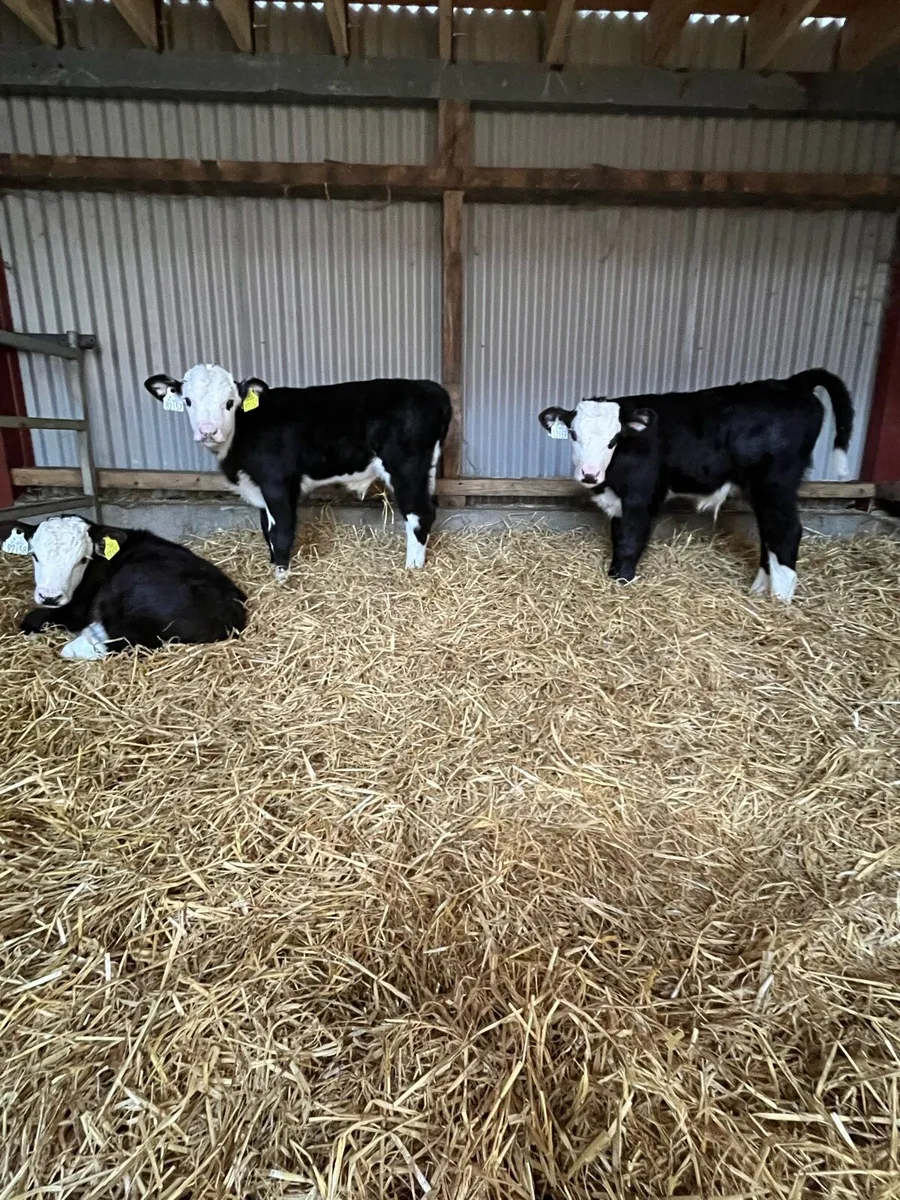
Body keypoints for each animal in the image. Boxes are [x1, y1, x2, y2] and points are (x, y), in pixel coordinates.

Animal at [143, 366, 452, 581]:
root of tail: (429, 387)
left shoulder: (277, 483)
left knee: (419, 514)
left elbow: (281, 531)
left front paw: (282, 577)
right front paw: (273, 565)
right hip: (424, 469)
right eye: (188, 401)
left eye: (229, 402)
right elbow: (266, 528)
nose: (208, 431)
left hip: (406, 467)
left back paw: (412, 567)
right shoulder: (260, 490)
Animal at [538, 368, 854, 603]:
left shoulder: (642, 496)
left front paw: (622, 582)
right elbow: (618, 536)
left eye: (614, 439)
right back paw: (759, 591)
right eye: (573, 434)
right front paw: (614, 575)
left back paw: (779, 601)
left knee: (786, 531)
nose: (589, 474)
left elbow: (629, 541)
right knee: (769, 533)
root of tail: (792, 382)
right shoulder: (619, 502)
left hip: (777, 482)